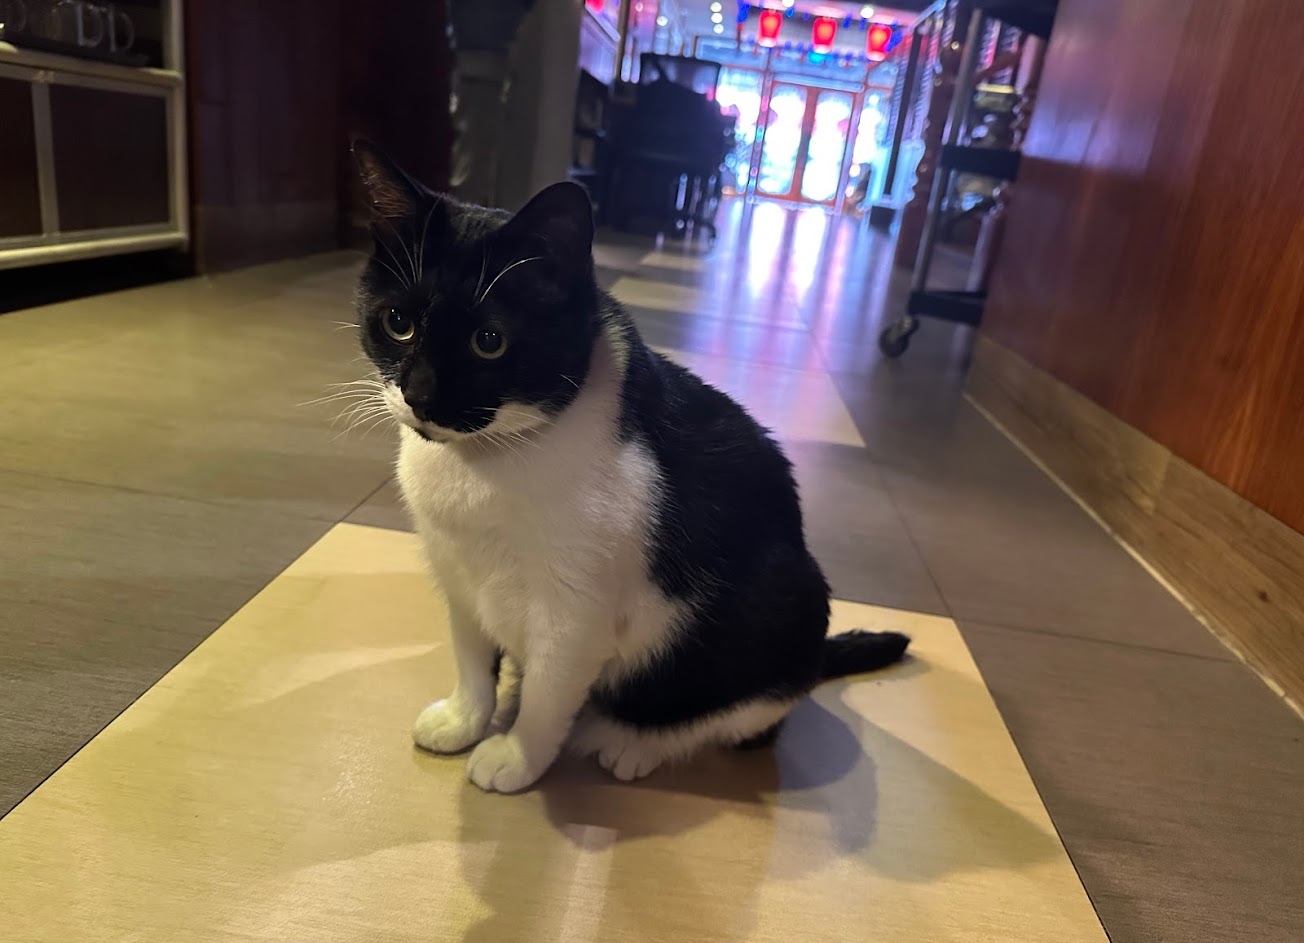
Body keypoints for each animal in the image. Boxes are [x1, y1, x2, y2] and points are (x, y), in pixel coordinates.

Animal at [351, 140, 910, 793]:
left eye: (489, 341)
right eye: (398, 323)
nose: (419, 395)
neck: (486, 461)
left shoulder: (576, 610)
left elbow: (547, 691)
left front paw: (516, 755)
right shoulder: (457, 573)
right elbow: (470, 656)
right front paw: (464, 720)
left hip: (787, 603)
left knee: (735, 717)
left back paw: (627, 742)